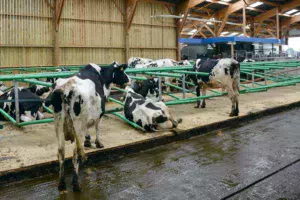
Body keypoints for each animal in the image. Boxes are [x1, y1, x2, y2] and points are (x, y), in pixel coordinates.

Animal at [51, 61, 130, 191]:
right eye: (122, 71)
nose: (129, 79)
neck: (101, 76)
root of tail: (66, 88)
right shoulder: (99, 114)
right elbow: (97, 128)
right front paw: (98, 143)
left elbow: (88, 129)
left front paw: (88, 141)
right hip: (77, 126)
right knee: (76, 153)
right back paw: (76, 184)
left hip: (59, 126)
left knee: (61, 153)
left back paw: (61, 184)